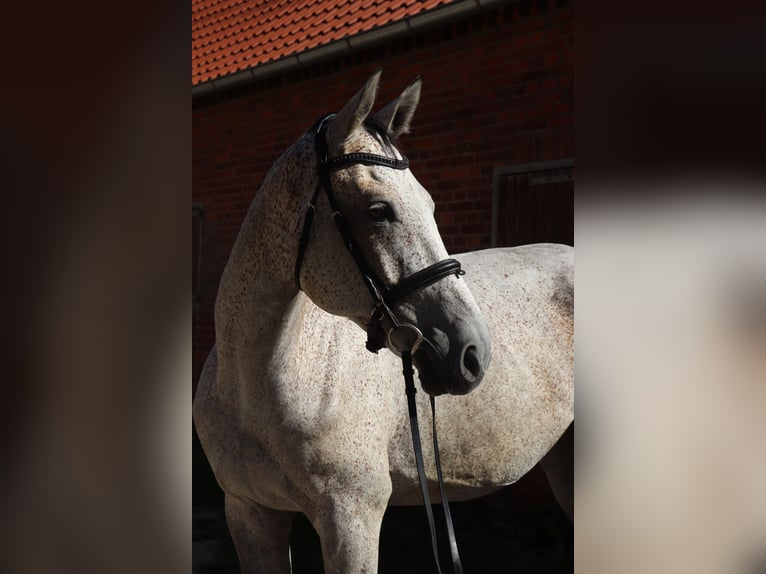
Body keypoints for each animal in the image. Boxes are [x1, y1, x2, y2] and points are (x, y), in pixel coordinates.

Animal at [193, 70, 574, 573]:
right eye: (378, 210)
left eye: (430, 206)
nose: (472, 352)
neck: (258, 384)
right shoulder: (249, 514)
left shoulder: (351, 519)